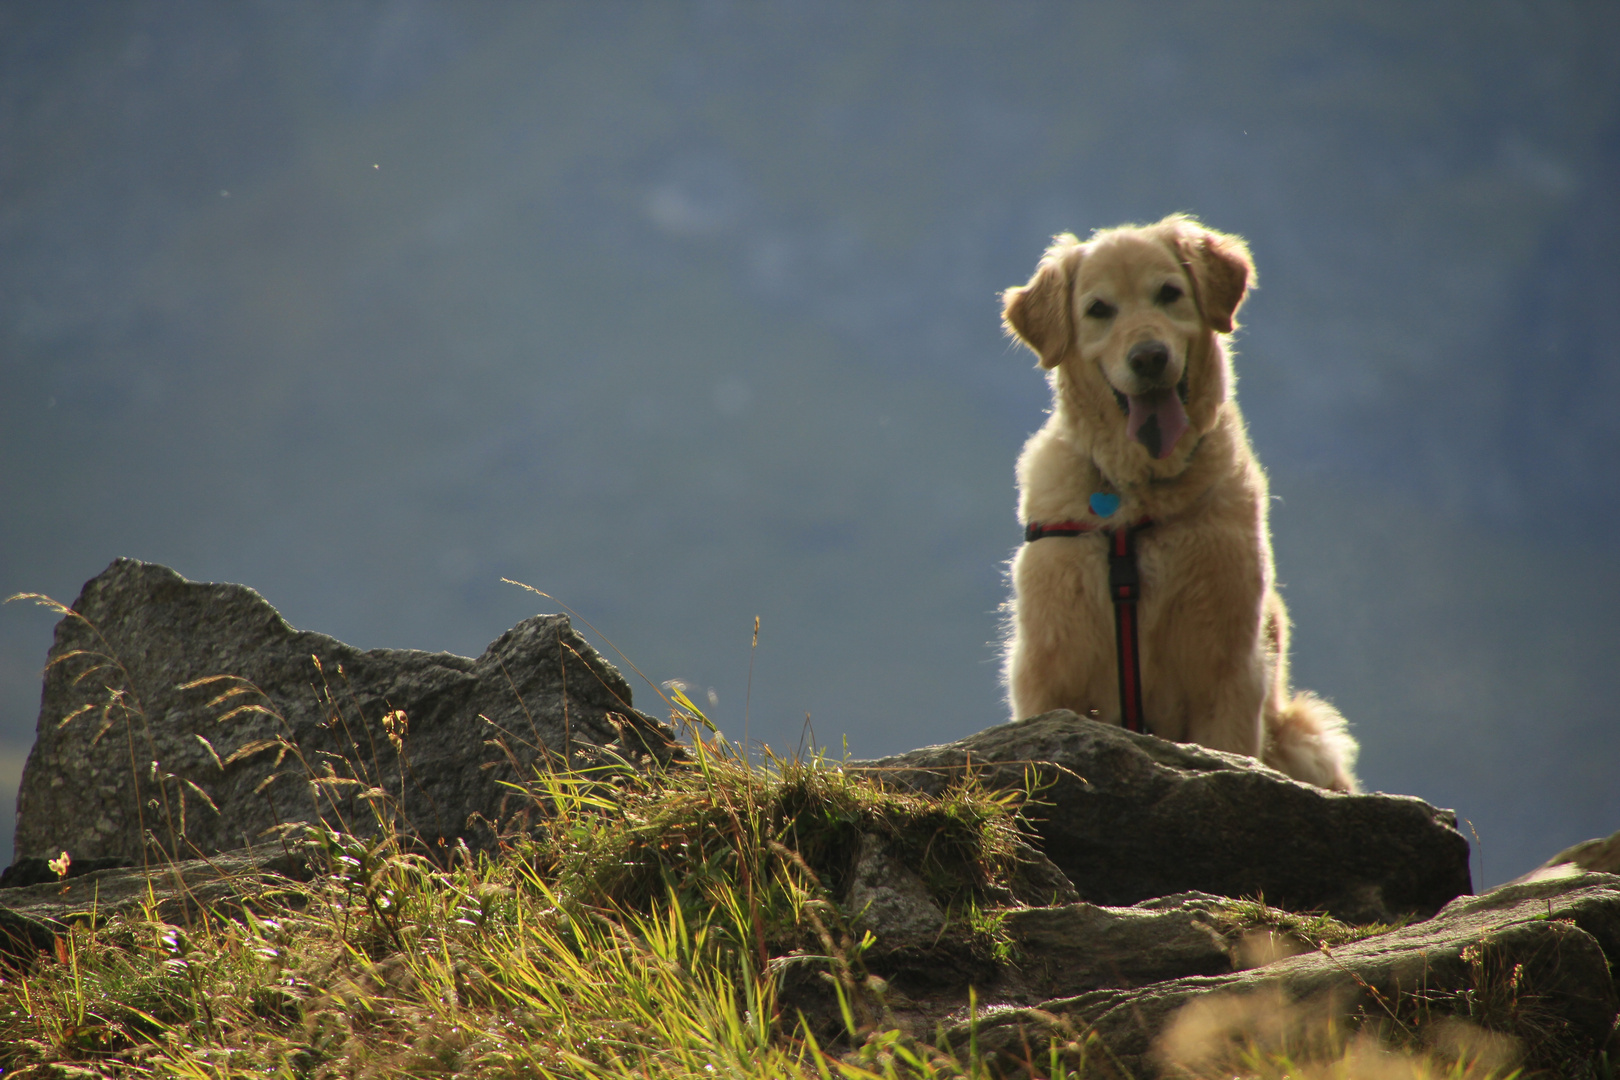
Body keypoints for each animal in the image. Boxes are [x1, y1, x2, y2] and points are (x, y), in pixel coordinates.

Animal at [997, 216, 1354, 793]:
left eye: (1169, 293)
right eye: (1098, 309)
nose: (1149, 357)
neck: (1137, 495)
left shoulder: (1227, 673)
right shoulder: (1051, 670)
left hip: (1305, 736)